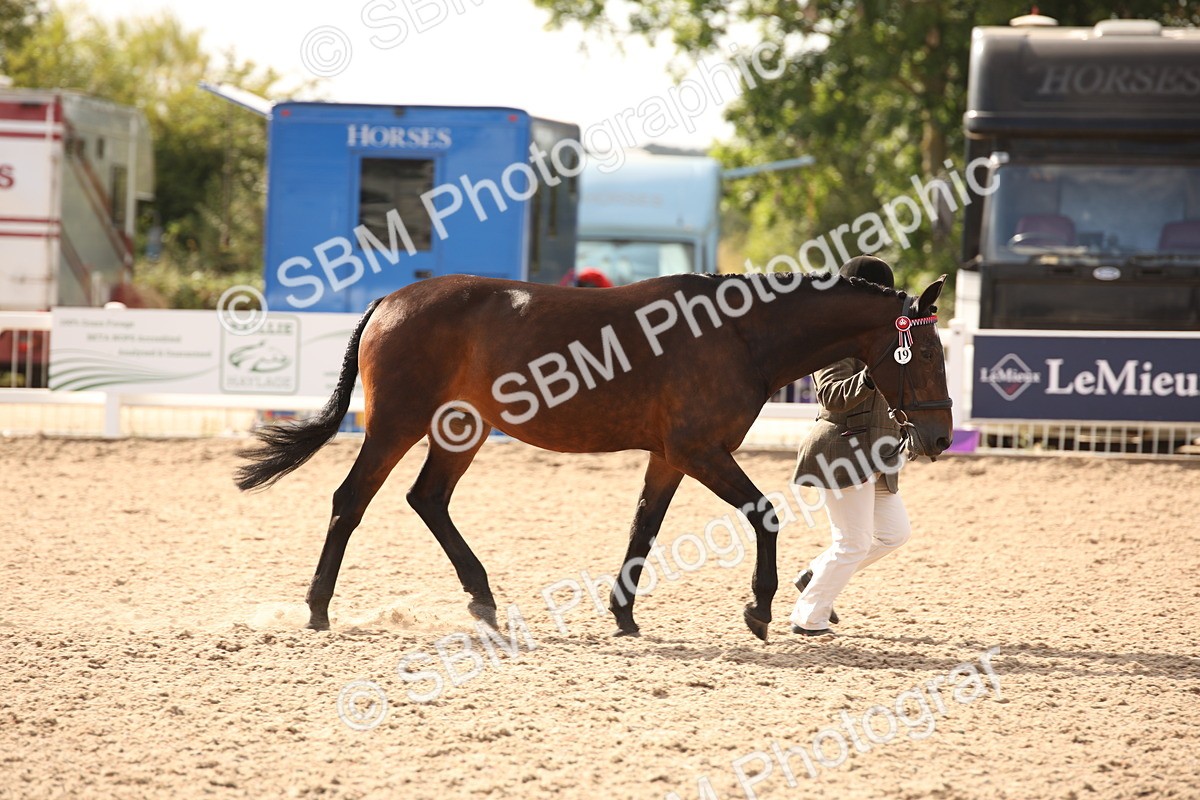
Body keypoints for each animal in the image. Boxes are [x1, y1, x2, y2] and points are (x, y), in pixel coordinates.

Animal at [235, 269, 954, 641]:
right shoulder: (700, 449)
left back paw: (483, 601)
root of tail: (390, 299)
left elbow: (644, 527)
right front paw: (758, 610)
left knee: (427, 499)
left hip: (461, 429)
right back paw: (318, 610)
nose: (941, 437)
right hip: (396, 424)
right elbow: (764, 515)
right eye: (924, 349)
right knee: (351, 500)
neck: (737, 333)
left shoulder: (671, 456)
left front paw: (624, 613)